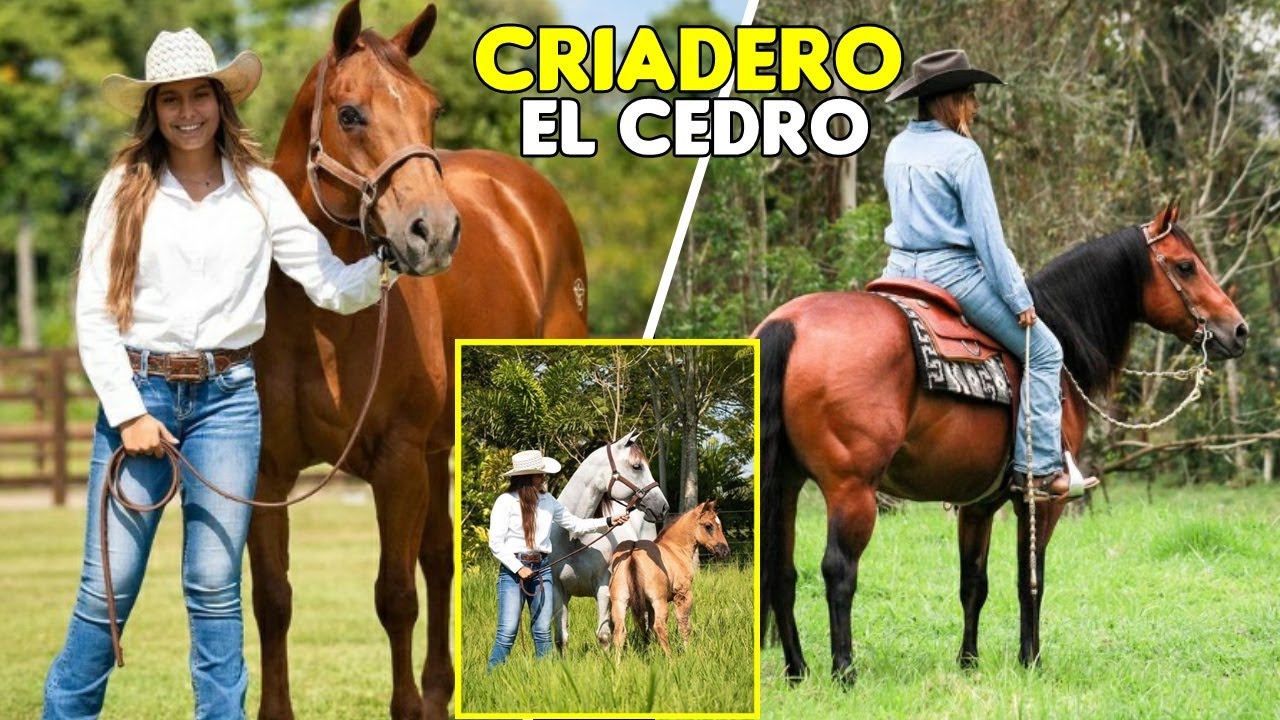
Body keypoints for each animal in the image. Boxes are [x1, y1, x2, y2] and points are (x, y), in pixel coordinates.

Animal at [248, 2, 588, 719]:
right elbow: (273, 600)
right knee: (439, 557)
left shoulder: (397, 461)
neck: (320, 316)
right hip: (436, 448)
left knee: (430, 566)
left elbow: (394, 597)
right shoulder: (267, 471)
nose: (434, 232)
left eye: (433, 110)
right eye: (351, 113)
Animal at [549, 432, 669, 651]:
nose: (663, 506)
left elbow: (603, 635)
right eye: (637, 466)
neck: (574, 538)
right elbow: (561, 638)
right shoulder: (558, 589)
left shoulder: (602, 586)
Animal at [609, 500, 731, 656]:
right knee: (660, 626)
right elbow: (684, 624)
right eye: (708, 526)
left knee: (620, 631)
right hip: (659, 601)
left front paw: (651, 650)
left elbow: (648, 628)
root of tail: (632, 554)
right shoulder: (683, 595)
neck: (675, 549)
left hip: (619, 601)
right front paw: (687, 652)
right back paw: (670, 658)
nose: (725, 551)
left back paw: (617, 662)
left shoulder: (647, 604)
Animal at [756, 202, 1248, 684]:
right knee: (838, 570)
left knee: (781, 570)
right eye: (1185, 266)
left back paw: (797, 670)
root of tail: (788, 324)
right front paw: (1031, 660)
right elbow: (1031, 579)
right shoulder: (1042, 499)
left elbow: (974, 583)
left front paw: (968, 661)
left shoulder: (977, 504)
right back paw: (844, 672)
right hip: (852, 488)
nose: (1239, 330)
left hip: (785, 483)